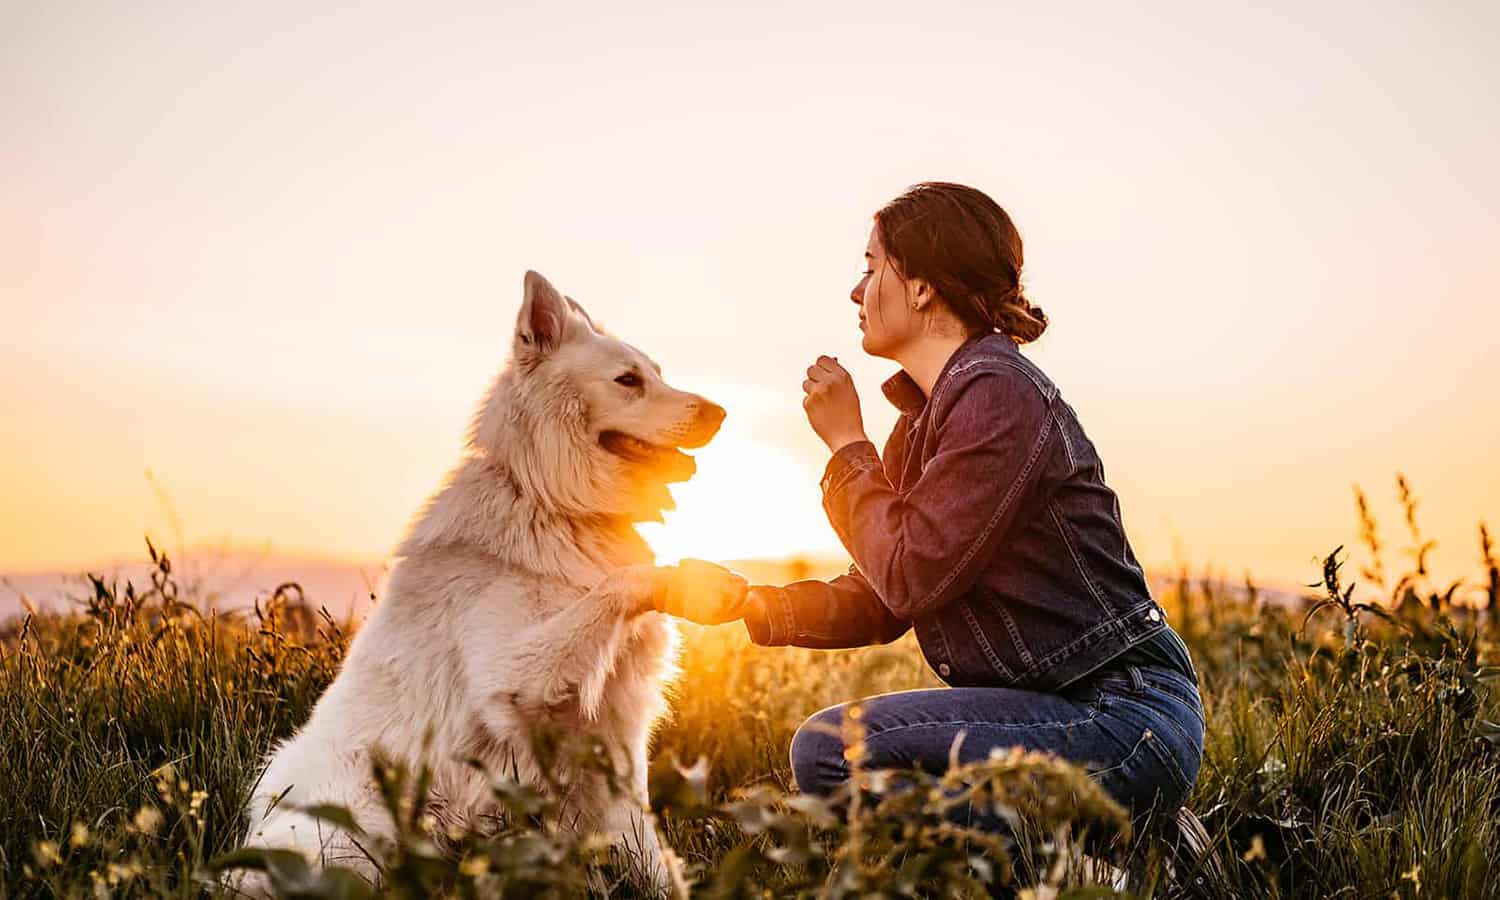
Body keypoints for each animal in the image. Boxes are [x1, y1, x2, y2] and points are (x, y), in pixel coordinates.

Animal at [232, 270, 738, 894]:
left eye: (658, 373)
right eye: (628, 380)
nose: (720, 413)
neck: (551, 504)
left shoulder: (620, 733)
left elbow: (647, 847)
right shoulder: (515, 679)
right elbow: (618, 584)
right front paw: (690, 579)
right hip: (358, 829)